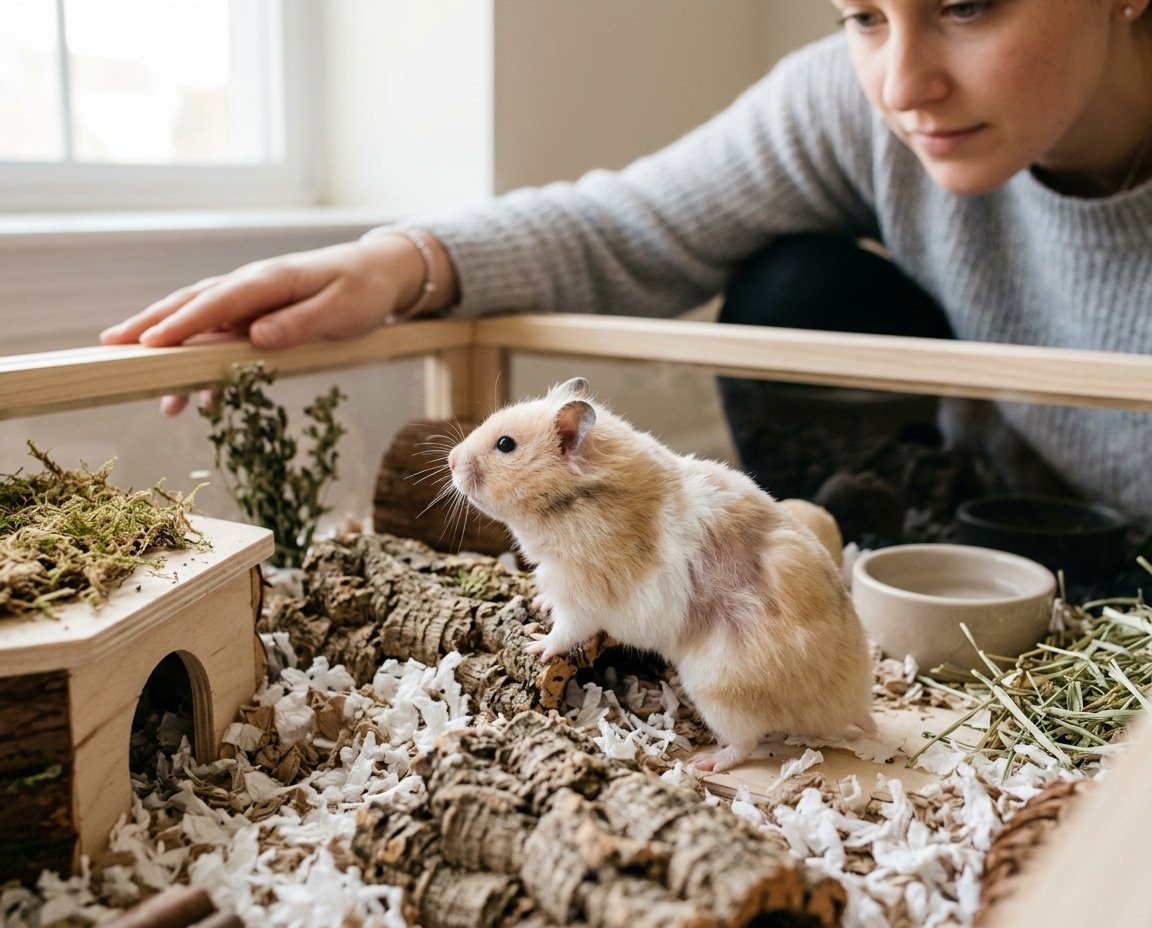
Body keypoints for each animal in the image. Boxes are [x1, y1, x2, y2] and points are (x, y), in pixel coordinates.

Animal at [447, 377, 877, 772]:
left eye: (505, 445)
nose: (450, 460)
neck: (571, 502)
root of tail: (848, 704)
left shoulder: (581, 592)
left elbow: (565, 631)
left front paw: (535, 646)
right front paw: (537, 605)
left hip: (720, 691)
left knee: (746, 743)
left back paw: (706, 762)